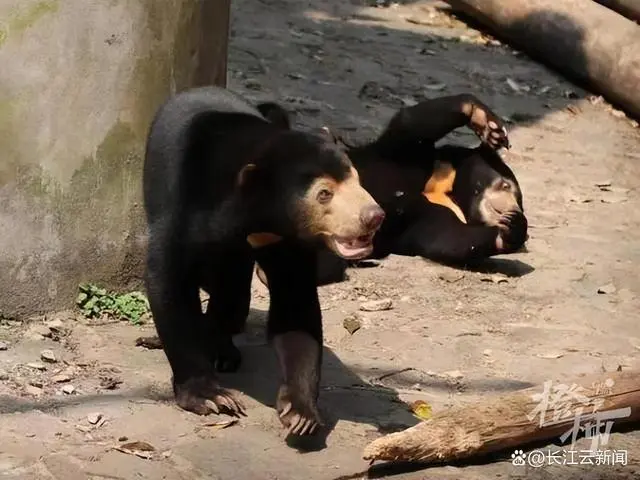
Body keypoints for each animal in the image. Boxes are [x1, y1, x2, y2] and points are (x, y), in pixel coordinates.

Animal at [142, 86, 385, 436]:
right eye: (323, 194)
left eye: (357, 180)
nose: (374, 216)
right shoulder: (182, 205)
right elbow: (168, 282)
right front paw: (211, 397)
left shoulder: (285, 240)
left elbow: (295, 303)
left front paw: (300, 413)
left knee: (232, 296)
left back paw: (223, 351)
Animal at [254, 93, 528, 286]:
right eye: (506, 185)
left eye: (519, 201)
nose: (513, 210)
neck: (444, 188)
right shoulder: (408, 156)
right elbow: (412, 125)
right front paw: (489, 125)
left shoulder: (430, 215)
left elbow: (448, 238)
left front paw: (513, 229)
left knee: (324, 264)